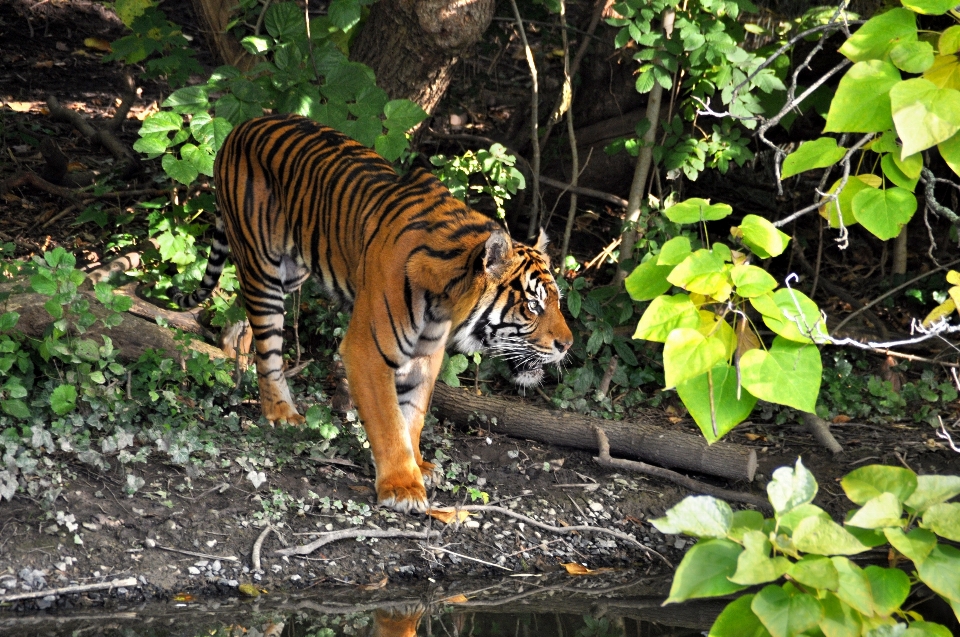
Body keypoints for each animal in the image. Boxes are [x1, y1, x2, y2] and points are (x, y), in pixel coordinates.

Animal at [172, 113, 568, 512]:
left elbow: (412, 415)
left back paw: (234, 344)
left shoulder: (426, 355)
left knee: (244, 310)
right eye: (533, 305)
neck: (444, 304)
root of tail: (242, 126)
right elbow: (389, 422)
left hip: (290, 273)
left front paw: (419, 466)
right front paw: (403, 487)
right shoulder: (368, 351)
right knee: (268, 346)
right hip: (264, 267)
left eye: (556, 301)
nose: (567, 345)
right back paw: (280, 412)